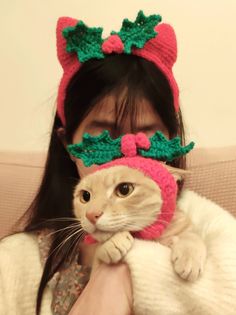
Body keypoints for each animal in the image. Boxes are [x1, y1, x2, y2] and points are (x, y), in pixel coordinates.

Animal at [73, 164, 206, 282]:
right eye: (85, 196)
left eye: (124, 189)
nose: (91, 215)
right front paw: (111, 242)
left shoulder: (184, 225)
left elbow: (192, 236)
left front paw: (189, 257)